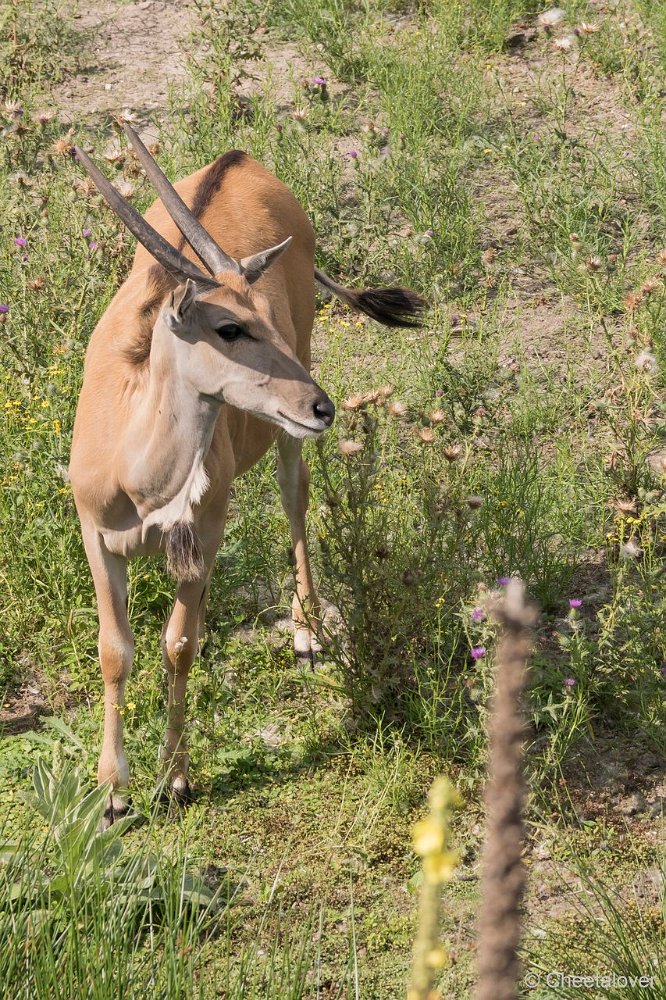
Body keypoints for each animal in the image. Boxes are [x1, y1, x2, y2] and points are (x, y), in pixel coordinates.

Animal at [70, 125, 422, 824]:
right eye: (229, 327)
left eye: (261, 314)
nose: (322, 406)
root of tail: (241, 160)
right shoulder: (98, 538)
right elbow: (115, 652)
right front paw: (114, 795)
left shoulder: (202, 534)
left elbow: (178, 644)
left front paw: (175, 780)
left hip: (290, 420)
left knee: (295, 497)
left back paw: (308, 631)